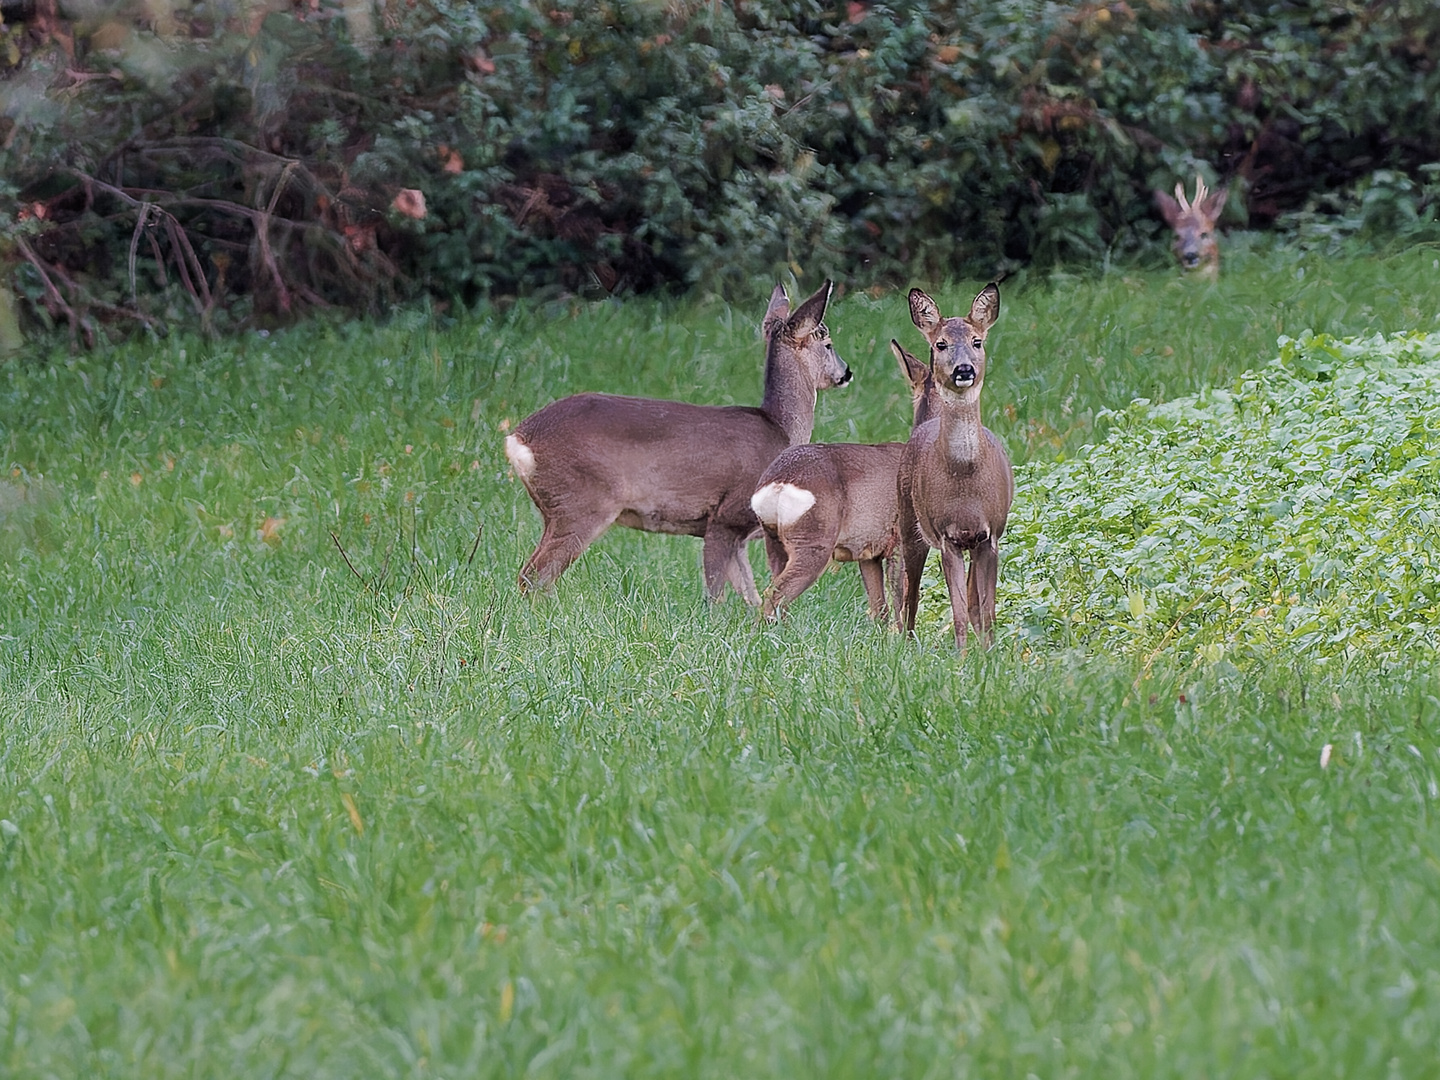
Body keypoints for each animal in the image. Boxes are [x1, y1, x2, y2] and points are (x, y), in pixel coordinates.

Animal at [506, 280, 846, 601]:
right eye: (828, 344)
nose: (847, 372)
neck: (779, 428)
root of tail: (517, 439)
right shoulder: (725, 516)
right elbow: (716, 595)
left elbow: (749, 595)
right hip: (582, 502)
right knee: (534, 576)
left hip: (556, 508)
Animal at [748, 338, 938, 624]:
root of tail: (777, 483)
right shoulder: (902, 540)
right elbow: (902, 603)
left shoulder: (869, 552)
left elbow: (879, 608)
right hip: (814, 540)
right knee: (773, 596)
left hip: (775, 542)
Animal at [892, 285, 1019, 650]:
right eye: (940, 343)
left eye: (977, 341)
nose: (964, 369)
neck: (965, 475)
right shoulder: (947, 536)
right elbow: (958, 610)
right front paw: (962, 656)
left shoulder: (990, 534)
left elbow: (986, 610)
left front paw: (989, 653)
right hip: (909, 522)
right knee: (910, 592)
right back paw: (907, 643)